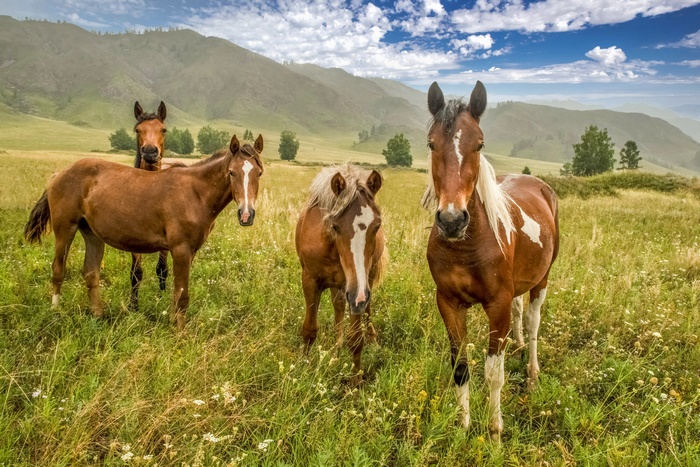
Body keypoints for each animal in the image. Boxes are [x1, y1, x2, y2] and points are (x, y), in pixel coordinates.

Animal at [24, 134, 264, 330]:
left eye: (259, 173)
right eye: (231, 172)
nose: (246, 214)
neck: (195, 194)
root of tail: (59, 174)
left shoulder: (191, 251)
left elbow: (176, 293)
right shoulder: (181, 250)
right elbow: (182, 295)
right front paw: (180, 333)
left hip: (91, 234)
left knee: (91, 273)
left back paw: (98, 316)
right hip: (65, 229)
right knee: (58, 270)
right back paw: (56, 312)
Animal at [295, 164, 387, 386]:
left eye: (377, 225)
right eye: (335, 225)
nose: (359, 295)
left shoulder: (357, 288)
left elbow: (355, 339)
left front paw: (355, 382)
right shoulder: (310, 280)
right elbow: (309, 329)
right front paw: (303, 367)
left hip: (366, 278)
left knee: (366, 310)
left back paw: (370, 338)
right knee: (338, 307)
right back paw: (336, 349)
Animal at [422, 81, 559, 439]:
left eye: (479, 144)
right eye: (431, 144)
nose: (452, 220)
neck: (466, 247)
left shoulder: (496, 305)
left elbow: (494, 373)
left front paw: (495, 430)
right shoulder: (449, 303)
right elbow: (460, 368)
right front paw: (463, 425)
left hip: (542, 280)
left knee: (533, 322)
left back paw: (532, 372)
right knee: (520, 313)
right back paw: (519, 345)